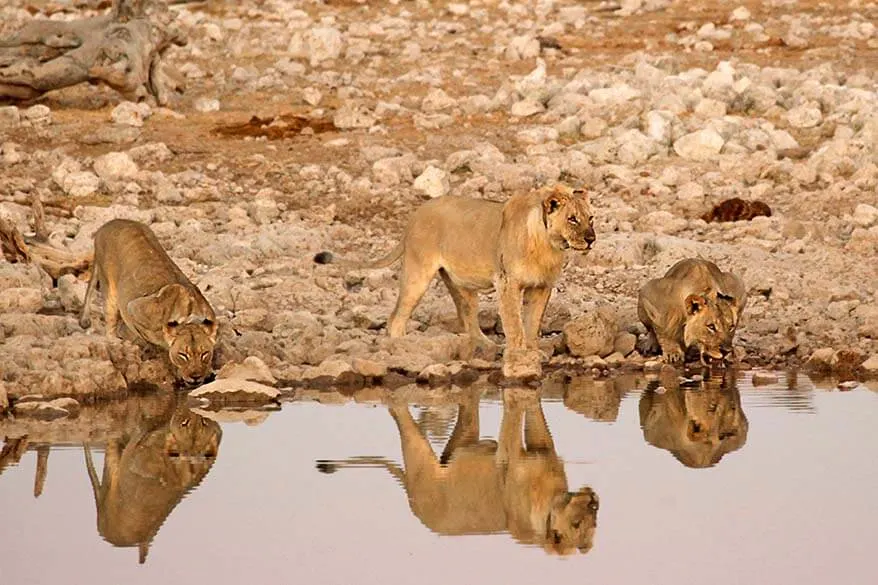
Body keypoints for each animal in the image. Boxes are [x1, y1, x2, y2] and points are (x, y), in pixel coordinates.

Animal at [80, 219, 218, 384]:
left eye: (205, 354)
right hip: (109, 288)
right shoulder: (133, 307)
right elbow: (145, 336)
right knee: (110, 324)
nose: (196, 377)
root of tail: (109, 223)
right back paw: (115, 341)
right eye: (183, 355)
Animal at [316, 187, 600, 378]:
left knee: (467, 319)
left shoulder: (542, 287)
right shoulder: (507, 282)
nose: (591, 239)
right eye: (572, 218)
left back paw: (485, 346)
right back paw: (404, 348)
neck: (549, 245)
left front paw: (533, 352)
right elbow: (514, 324)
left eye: (590, 218)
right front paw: (520, 359)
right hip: (418, 273)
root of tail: (415, 214)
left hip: (460, 284)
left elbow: (532, 323)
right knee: (396, 318)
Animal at [316, 388, 600, 552]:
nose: (594, 501)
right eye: (576, 524)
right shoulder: (510, 457)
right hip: (420, 457)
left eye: (593, 524)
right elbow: (511, 424)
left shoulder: (544, 449)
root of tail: (412, 498)